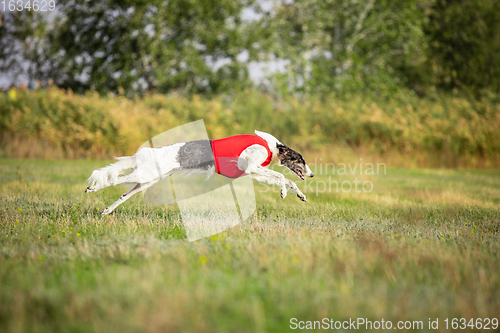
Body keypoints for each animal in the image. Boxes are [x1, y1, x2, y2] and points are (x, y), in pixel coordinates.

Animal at [85, 130, 312, 213]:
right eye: (301, 160)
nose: (311, 175)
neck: (272, 146)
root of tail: (147, 152)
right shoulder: (252, 167)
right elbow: (282, 176)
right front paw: (283, 192)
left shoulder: (255, 173)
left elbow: (290, 181)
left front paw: (300, 195)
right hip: (144, 176)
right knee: (112, 179)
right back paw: (91, 189)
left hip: (147, 180)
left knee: (123, 194)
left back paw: (106, 211)